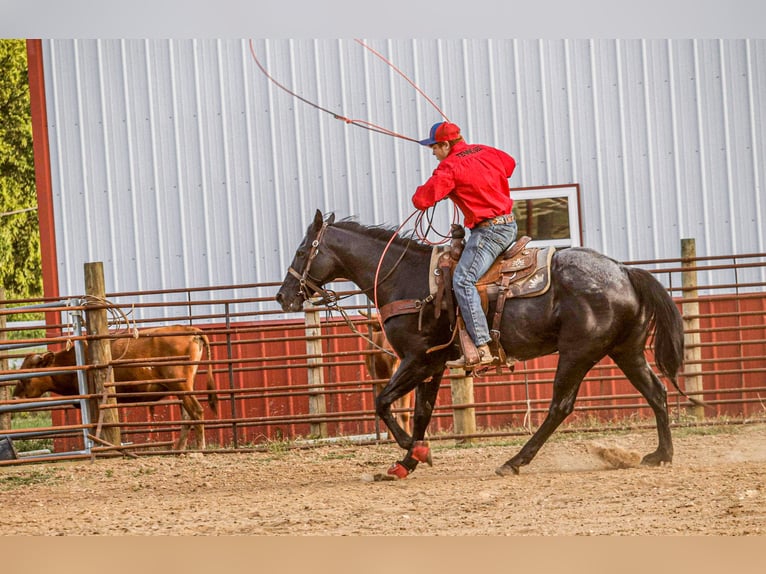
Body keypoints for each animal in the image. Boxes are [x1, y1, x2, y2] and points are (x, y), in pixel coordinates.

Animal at [12, 326, 219, 452]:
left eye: (25, 377)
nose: (14, 398)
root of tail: (191, 329)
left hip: (181, 385)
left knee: (196, 411)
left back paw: (199, 449)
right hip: (182, 388)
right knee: (187, 416)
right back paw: (178, 450)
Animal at [278, 209, 688, 480]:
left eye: (301, 251)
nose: (283, 297)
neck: (407, 278)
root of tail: (623, 271)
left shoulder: (416, 359)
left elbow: (383, 403)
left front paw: (416, 450)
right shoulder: (433, 363)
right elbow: (422, 412)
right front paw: (405, 463)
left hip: (577, 352)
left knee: (560, 406)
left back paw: (514, 462)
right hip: (626, 351)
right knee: (656, 392)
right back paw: (661, 454)